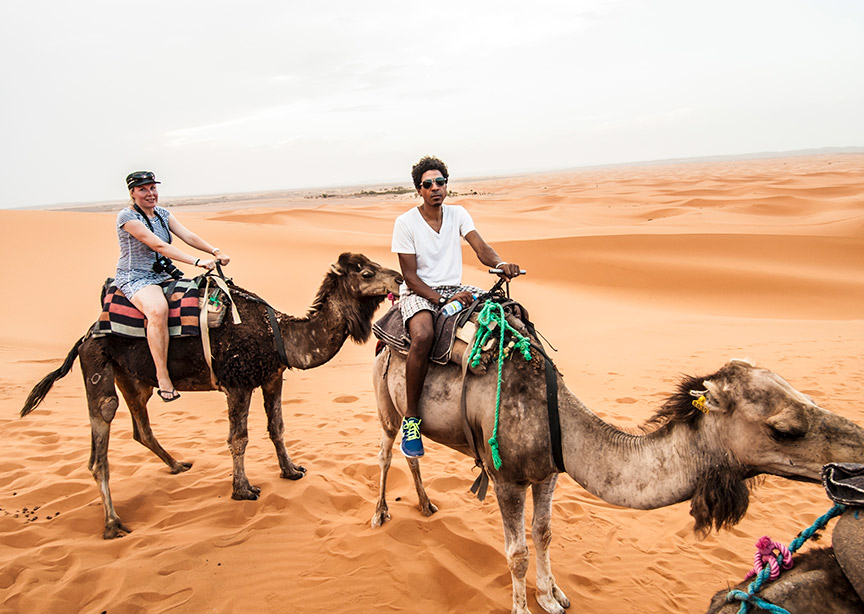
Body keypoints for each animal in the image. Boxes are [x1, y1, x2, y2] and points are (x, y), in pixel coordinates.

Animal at [19, 251, 398, 540]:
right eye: (366, 272)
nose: (397, 279)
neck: (281, 334)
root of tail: (85, 336)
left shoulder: (272, 376)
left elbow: (276, 428)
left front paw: (291, 471)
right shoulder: (238, 383)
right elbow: (238, 438)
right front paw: (243, 490)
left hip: (133, 378)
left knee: (141, 426)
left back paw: (177, 465)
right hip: (97, 367)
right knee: (102, 436)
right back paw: (112, 524)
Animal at [372, 348, 864, 612]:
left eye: (809, 397)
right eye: (784, 429)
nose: (858, 456)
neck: (557, 420)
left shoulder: (548, 472)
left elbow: (543, 533)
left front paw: (552, 598)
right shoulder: (506, 478)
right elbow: (516, 552)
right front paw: (523, 606)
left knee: (410, 456)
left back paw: (426, 505)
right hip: (385, 401)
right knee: (386, 450)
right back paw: (380, 515)